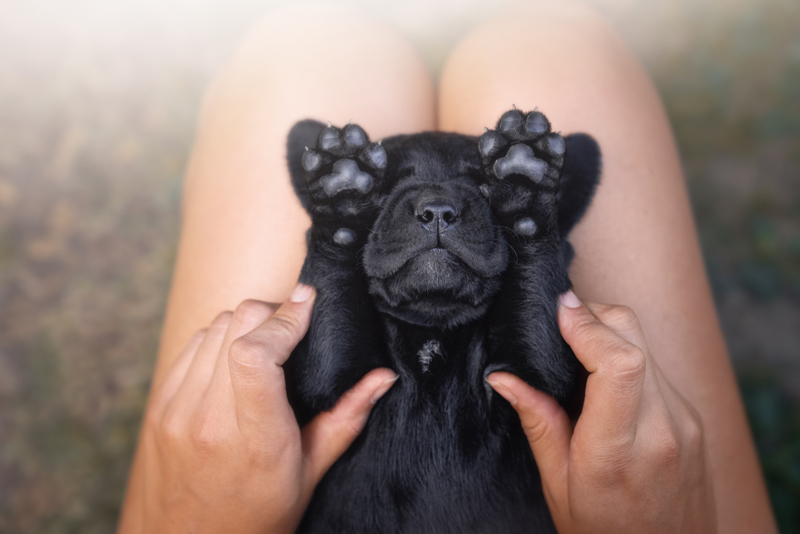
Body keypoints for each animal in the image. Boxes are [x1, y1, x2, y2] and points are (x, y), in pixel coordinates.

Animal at [284, 110, 596, 534]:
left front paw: (524, 194)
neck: (433, 328)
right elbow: (332, 290)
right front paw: (342, 204)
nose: (436, 209)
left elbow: (535, 300)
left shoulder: (537, 375)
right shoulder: (329, 378)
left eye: (484, 187)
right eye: (383, 189)